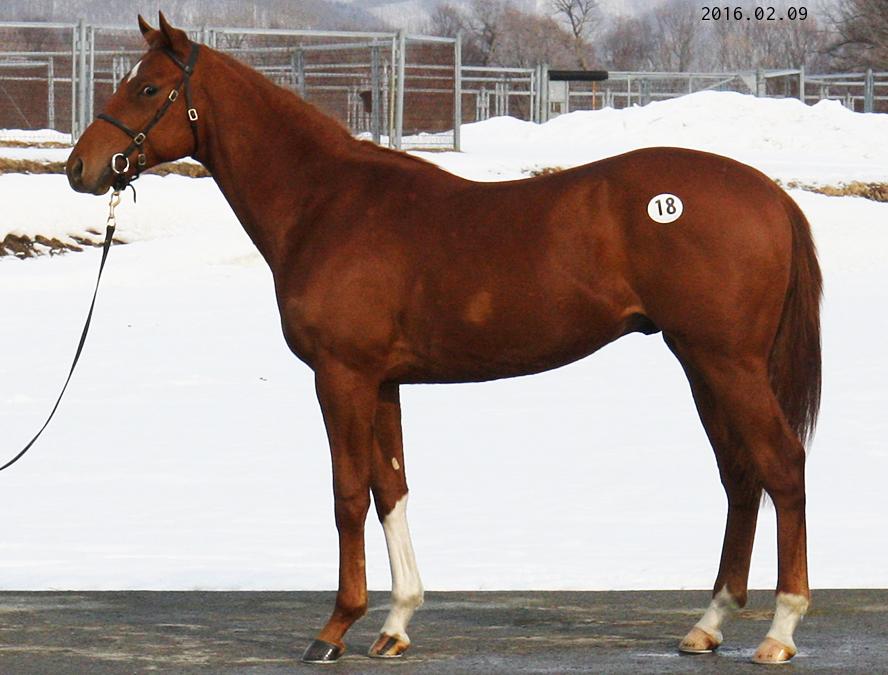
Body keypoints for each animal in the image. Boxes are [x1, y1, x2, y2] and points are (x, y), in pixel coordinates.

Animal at [66, 14, 822, 665]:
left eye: (148, 88)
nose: (81, 168)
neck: (326, 202)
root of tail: (770, 194)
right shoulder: (383, 381)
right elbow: (390, 489)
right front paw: (396, 623)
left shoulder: (341, 375)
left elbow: (347, 493)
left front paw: (334, 629)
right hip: (700, 363)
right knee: (741, 476)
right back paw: (709, 624)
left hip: (727, 364)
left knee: (782, 466)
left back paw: (780, 631)